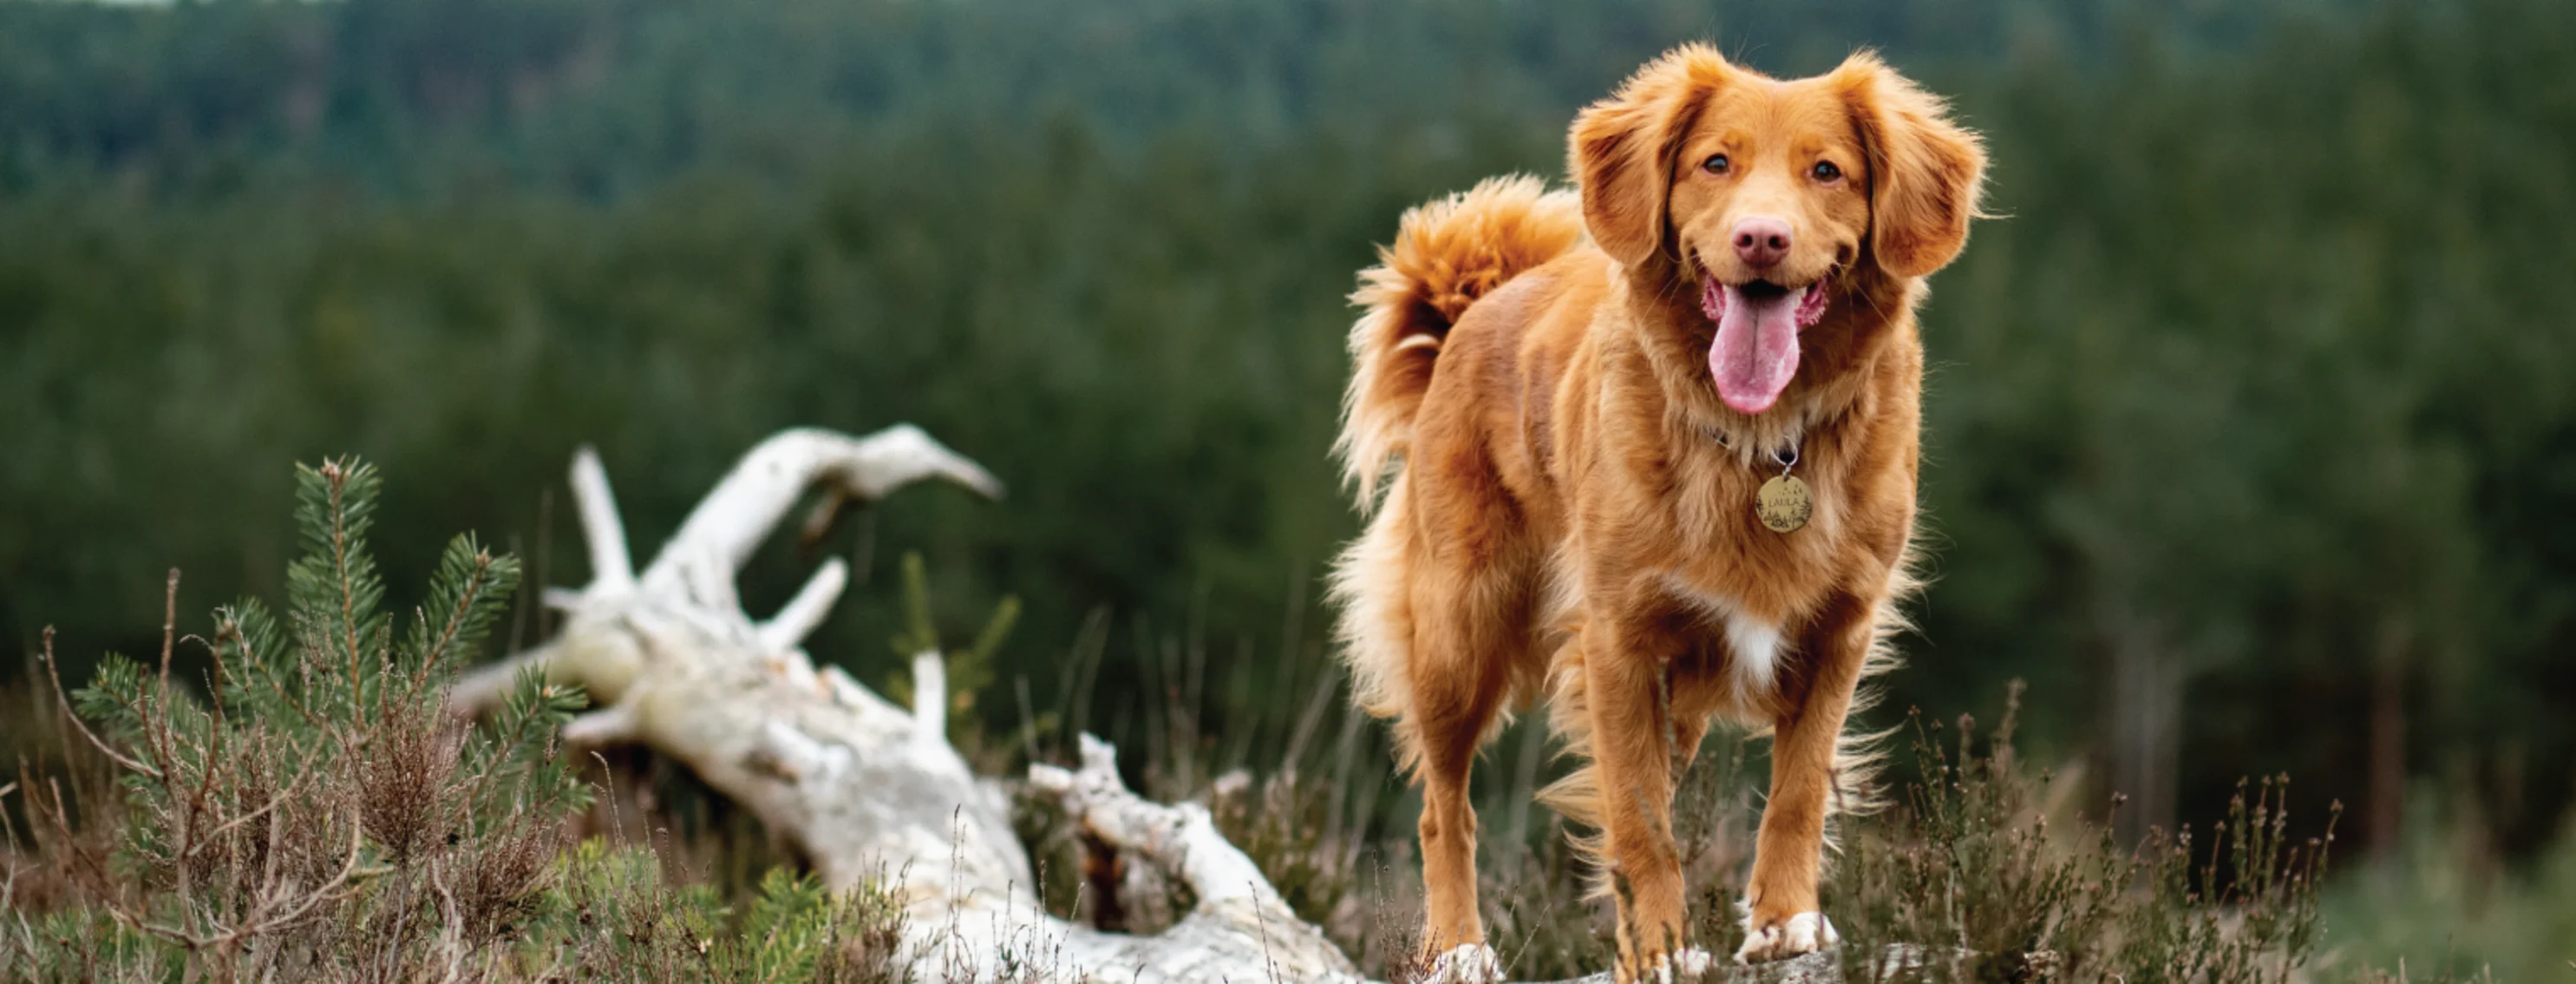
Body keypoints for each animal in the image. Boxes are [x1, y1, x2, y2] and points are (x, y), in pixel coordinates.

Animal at [1339, 43, 1978, 979]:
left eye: (1827, 171)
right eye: (1715, 163)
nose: (1761, 238)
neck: (1761, 439)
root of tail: (1475, 307)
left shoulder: (1839, 630)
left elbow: (1798, 789)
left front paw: (1786, 922)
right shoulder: (1620, 642)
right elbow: (1641, 822)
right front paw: (1661, 951)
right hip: (1460, 629)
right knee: (1441, 805)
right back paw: (1458, 946)